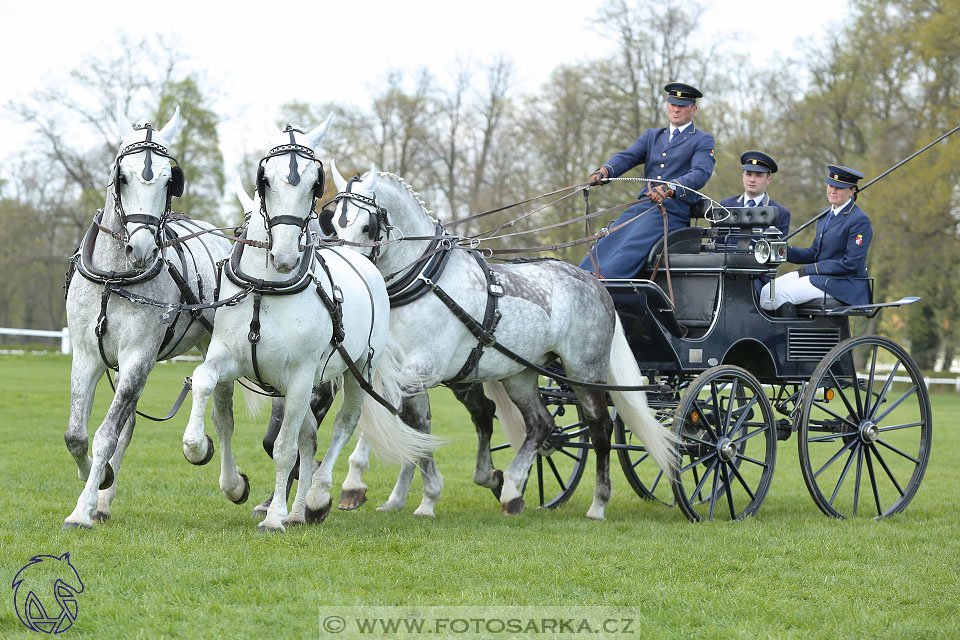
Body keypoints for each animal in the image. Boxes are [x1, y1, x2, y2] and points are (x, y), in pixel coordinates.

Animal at [63, 105, 232, 528]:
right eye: (121, 176)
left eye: (171, 180)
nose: (141, 248)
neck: (114, 278)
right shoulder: (87, 356)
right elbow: (77, 435)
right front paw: (98, 481)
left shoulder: (138, 357)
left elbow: (105, 434)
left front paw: (81, 509)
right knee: (129, 424)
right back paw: (104, 499)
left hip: (217, 343)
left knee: (222, 412)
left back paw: (231, 480)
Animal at [180, 117, 436, 532]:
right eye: (264, 178)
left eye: (316, 182)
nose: (284, 255)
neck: (265, 288)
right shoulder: (230, 360)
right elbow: (205, 384)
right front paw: (203, 452)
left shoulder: (300, 377)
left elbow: (285, 449)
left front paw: (275, 517)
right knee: (309, 437)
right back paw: (300, 510)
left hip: (355, 370)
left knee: (342, 426)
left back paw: (317, 497)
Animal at [322, 165, 676, 520]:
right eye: (334, 223)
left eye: (367, 226)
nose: (350, 274)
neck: (426, 280)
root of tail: (595, 282)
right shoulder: (397, 371)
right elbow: (414, 426)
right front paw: (415, 495)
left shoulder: (420, 370)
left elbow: (401, 420)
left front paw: (366, 485)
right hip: (519, 374)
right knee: (540, 424)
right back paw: (511, 489)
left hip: (585, 373)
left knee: (600, 429)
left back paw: (598, 504)